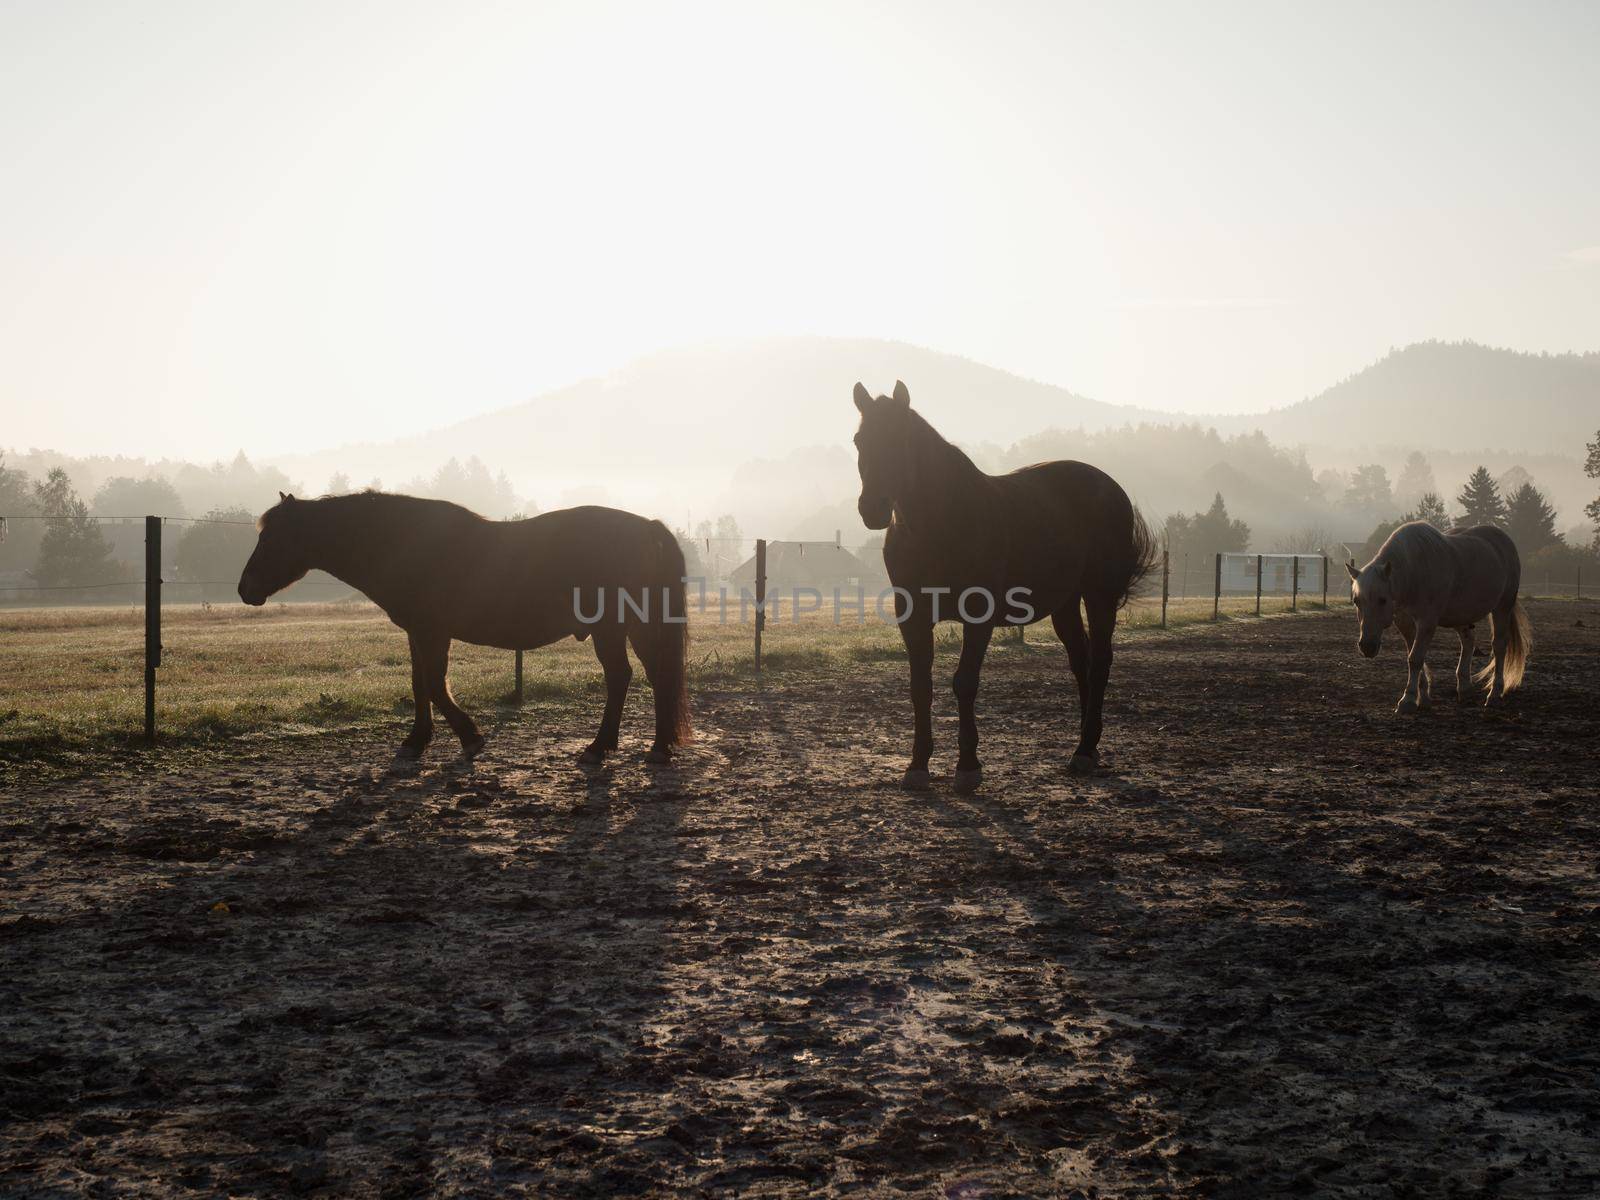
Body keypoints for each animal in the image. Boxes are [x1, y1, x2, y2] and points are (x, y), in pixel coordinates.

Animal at [236, 492, 688, 764]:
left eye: (271, 539)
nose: (245, 588)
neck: (405, 544)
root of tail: (647, 526)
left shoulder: (433, 632)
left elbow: (437, 687)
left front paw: (470, 736)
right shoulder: (416, 633)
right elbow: (420, 685)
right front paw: (416, 740)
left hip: (612, 628)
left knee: (622, 677)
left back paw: (602, 747)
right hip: (634, 627)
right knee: (654, 676)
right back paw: (656, 746)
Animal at [857, 385, 1158, 793]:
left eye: (900, 440)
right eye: (859, 440)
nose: (872, 508)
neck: (941, 521)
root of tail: (1110, 488)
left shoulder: (978, 616)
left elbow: (965, 682)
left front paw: (968, 767)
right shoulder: (914, 617)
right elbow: (920, 687)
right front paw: (917, 766)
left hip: (1100, 595)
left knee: (1100, 661)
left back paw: (1084, 749)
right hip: (1065, 603)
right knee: (1081, 661)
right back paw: (1087, 745)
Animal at [1344, 518, 1529, 710]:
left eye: (1382, 600)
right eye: (1356, 601)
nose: (1367, 647)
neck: (1414, 571)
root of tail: (1502, 539)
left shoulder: (1427, 622)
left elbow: (1415, 658)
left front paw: (1408, 699)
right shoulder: (1405, 623)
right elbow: (1414, 656)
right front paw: (1423, 697)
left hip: (1502, 606)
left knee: (1499, 646)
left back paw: (1494, 694)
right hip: (1460, 615)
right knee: (1468, 642)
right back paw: (1465, 689)